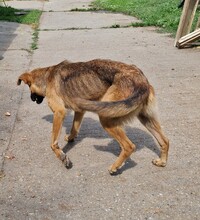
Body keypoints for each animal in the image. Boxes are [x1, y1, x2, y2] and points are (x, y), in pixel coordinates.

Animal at [17, 58, 169, 175]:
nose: (32, 99)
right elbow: (74, 128)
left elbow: (53, 143)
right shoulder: (79, 111)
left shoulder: (59, 112)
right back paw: (162, 161)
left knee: (129, 146)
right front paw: (70, 138)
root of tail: (141, 79)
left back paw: (115, 167)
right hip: (146, 118)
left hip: (106, 117)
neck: (47, 76)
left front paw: (63, 157)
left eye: (29, 86)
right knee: (165, 141)